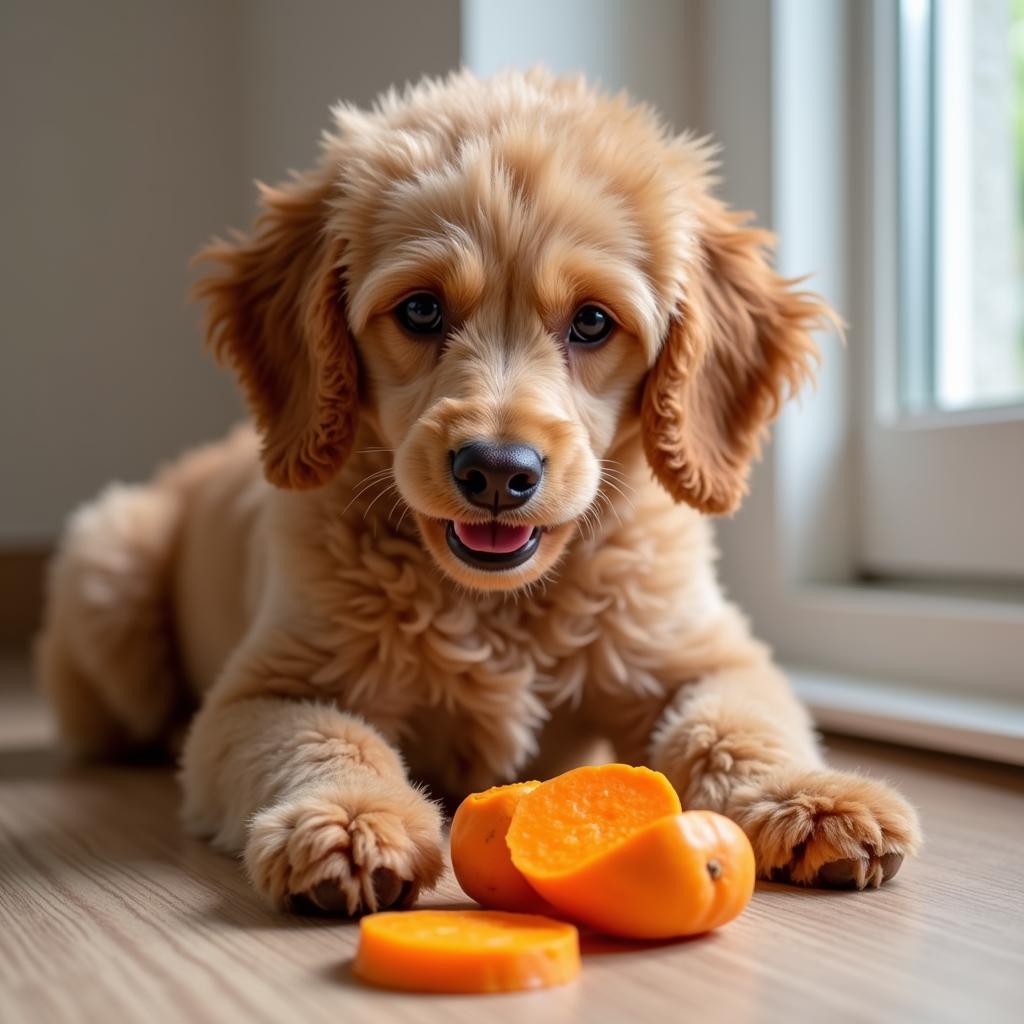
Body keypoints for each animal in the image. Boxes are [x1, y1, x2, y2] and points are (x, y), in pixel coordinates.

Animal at [36, 70, 925, 913]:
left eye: (593, 322)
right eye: (422, 310)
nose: (497, 469)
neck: (503, 609)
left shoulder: (701, 655)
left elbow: (736, 723)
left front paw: (810, 798)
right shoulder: (264, 691)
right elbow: (323, 738)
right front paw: (351, 822)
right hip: (109, 566)